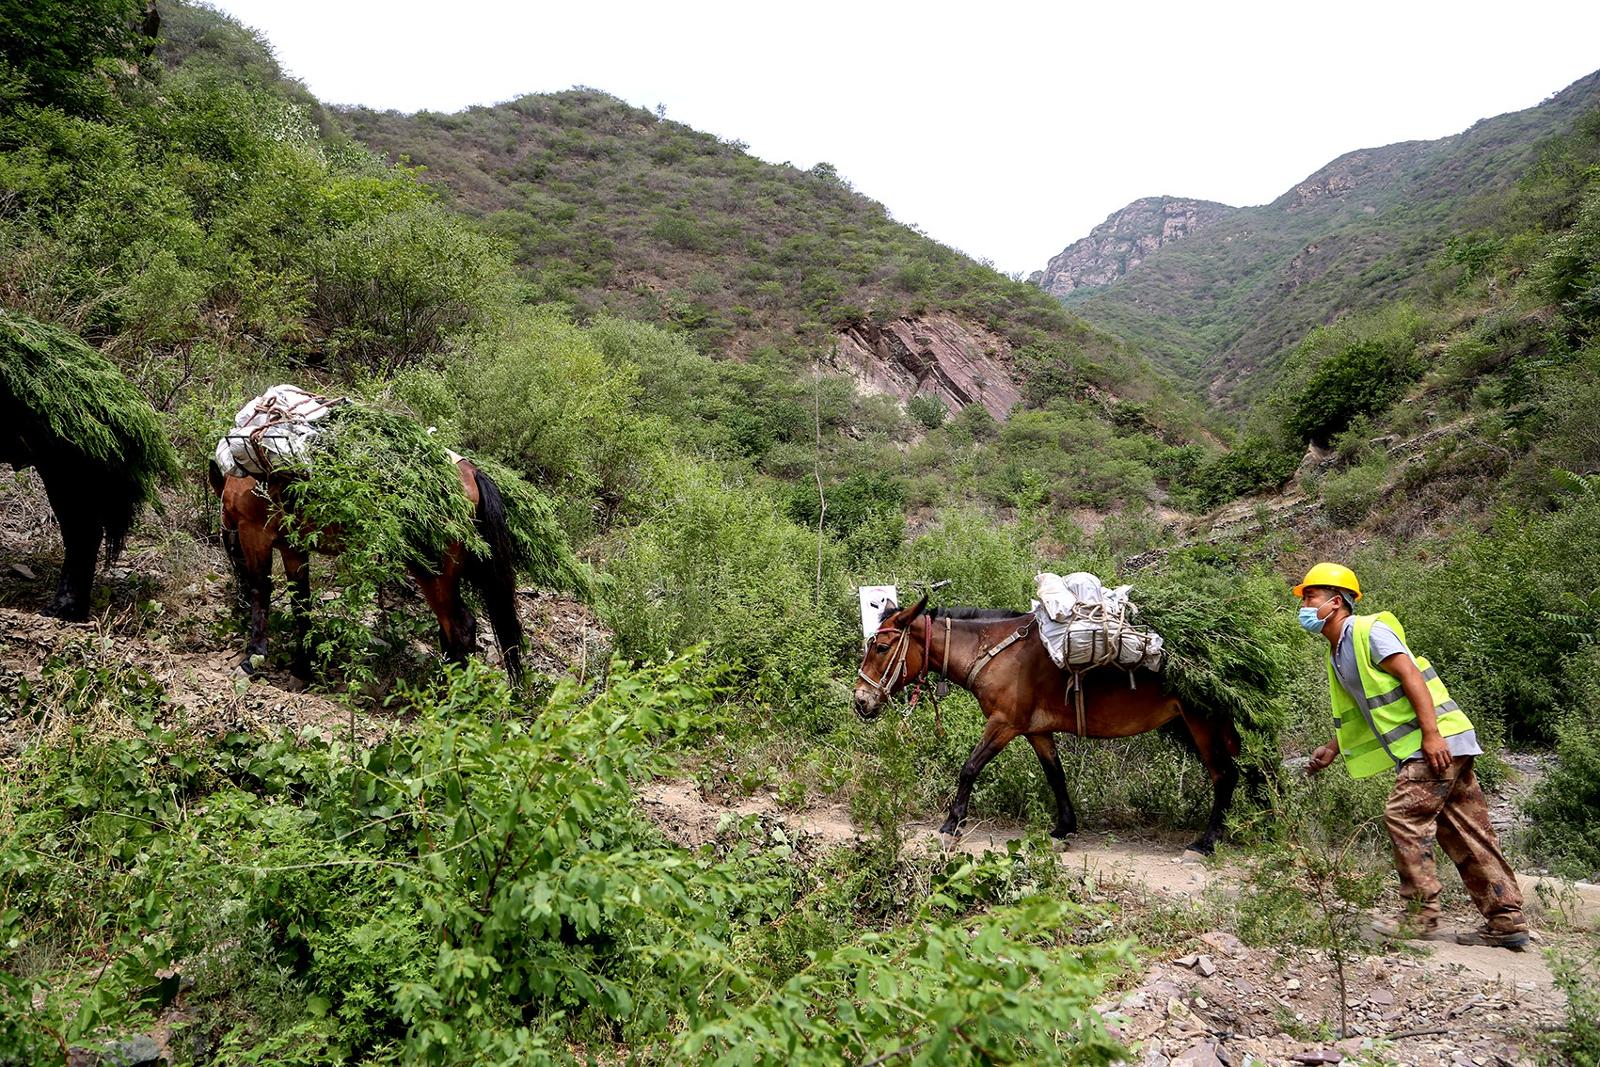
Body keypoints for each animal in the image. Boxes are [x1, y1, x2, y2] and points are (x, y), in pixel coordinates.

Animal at [208, 455, 527, 686]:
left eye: (229, 546)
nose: (235, 605)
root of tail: (470, 473)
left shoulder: (254, 533)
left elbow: (260, 591)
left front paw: (253, 658)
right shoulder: (293, 548)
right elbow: (301, 605)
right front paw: (303, 668)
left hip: (433, 573)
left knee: (459, 627)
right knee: (452, 629)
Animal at [852, 594, 1243, 855]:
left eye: (882, 647)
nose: (860, 701)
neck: (994, 651)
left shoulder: (1004, 723)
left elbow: (970, 767)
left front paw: (952, 825)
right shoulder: (1036, 730)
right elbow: (1056, 775)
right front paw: (1064, 828)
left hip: (1203, 723)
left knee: (1225, 775)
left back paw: (1206, 842)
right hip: (1191, 725)